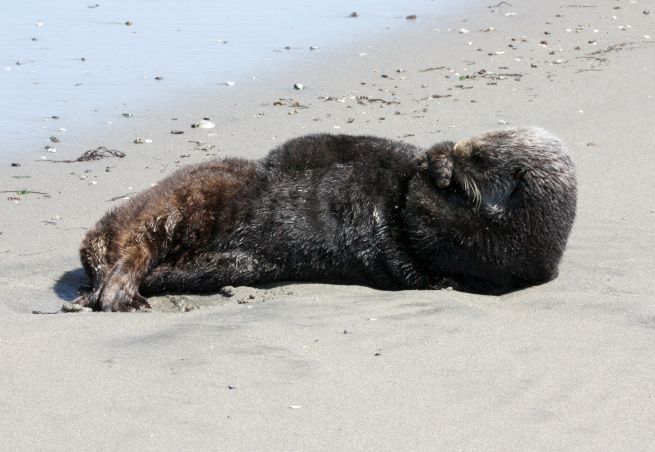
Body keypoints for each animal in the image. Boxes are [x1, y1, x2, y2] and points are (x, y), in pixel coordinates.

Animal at [75, 128, 576, 311]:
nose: (457, 148)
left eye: (480, 156)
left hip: (226, 245)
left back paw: (120, 293)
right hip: (203, 187)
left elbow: (419, 218)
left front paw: (437, 168)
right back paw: (112, 290)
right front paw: (432, 157)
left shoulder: (472, 249)